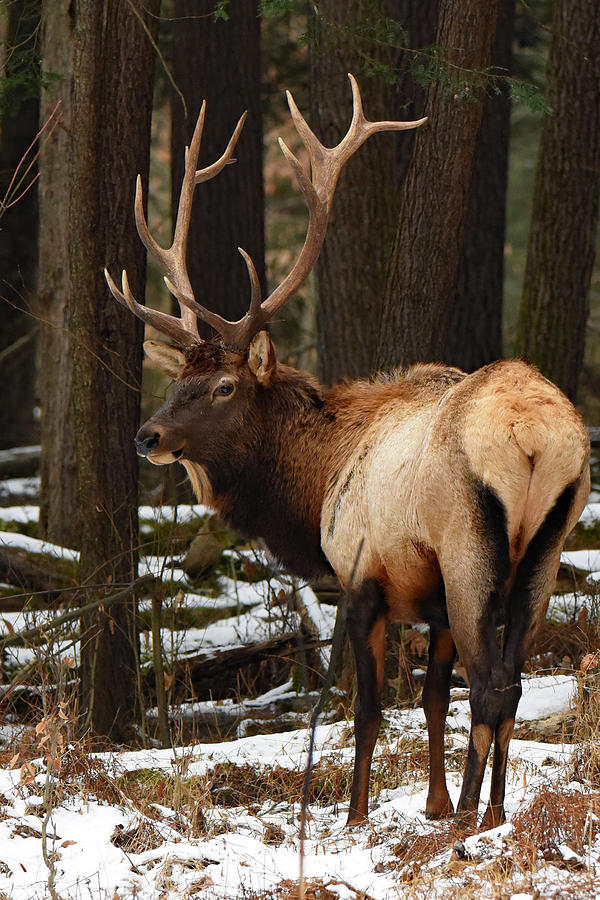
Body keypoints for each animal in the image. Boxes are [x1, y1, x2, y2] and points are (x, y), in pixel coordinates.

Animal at [104, 77, 592, 828]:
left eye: (222, 386)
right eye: (175, 379)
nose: (146, 436)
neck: (315, 486)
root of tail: (536, 435)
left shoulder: (363, 577)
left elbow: (367, 708)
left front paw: (359, 813)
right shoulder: (431, 603)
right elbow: (430, 699)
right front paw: (431, 802)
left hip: (468, 545)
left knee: (491, 683)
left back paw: (471, 822)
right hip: (548, 543)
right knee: (509, 680)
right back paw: (491, 815)